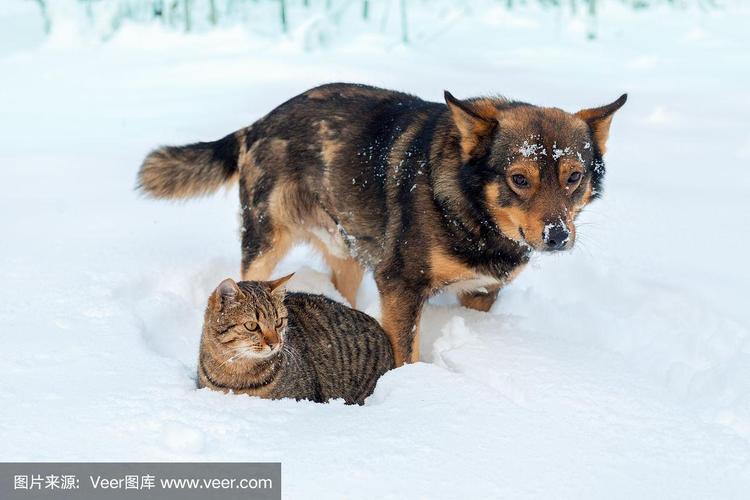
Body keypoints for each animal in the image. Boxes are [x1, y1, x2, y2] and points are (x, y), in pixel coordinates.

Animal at [138, 83, 624, 368]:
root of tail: (257, 125)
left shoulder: (481, 293)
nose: (558, 236)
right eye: (519, 179)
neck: (471, 212)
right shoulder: (400, 285)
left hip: (348, 251)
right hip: (265, 242)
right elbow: (405, 352)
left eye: (574, 178)